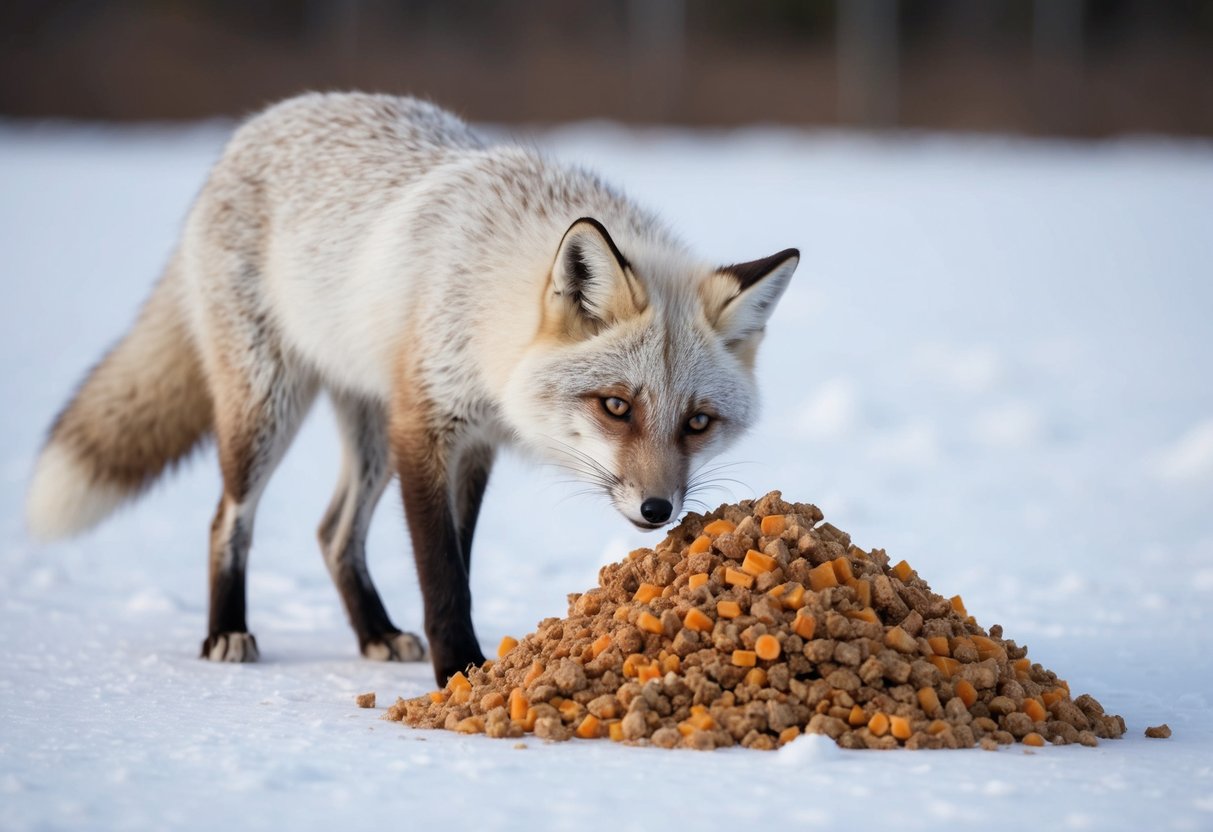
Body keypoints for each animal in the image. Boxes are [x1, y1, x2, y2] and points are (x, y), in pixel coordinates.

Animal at [25, 92, 798, 685]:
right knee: (228, 519)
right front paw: (459, 669)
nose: (656, 510)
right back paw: (226, 632)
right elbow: (441, 572)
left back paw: (374, 631)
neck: (488, 300)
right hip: (270, 407)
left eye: (697, 423)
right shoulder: (425, 426)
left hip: (366, 427)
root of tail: (258, 122)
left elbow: (461, 558)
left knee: (332, 533)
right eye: (616, 406)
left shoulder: (476, 442)